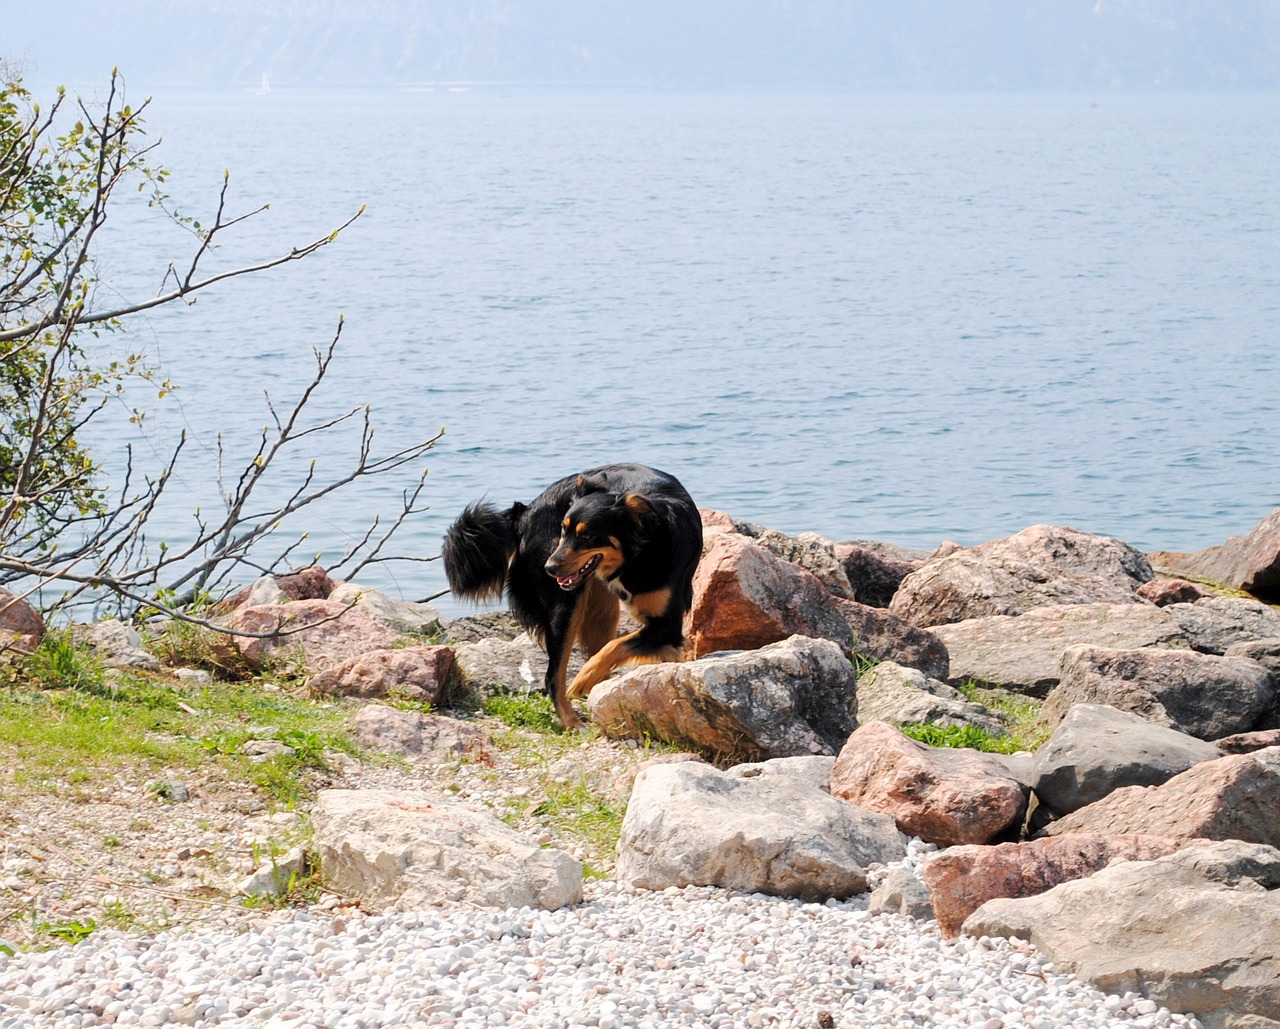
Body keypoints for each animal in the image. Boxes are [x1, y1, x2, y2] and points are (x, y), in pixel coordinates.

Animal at [440, 463, 701, 726]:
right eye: (563, 531)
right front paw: (584, 679)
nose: (549, 568)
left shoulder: (666, 625)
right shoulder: (664, 627)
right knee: (552, 676)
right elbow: (616, 645)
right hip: (567, 605)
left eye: (587, 536)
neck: (641, 549)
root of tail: (525, 513)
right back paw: (572, 721)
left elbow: (618, 646)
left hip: (600, 612)